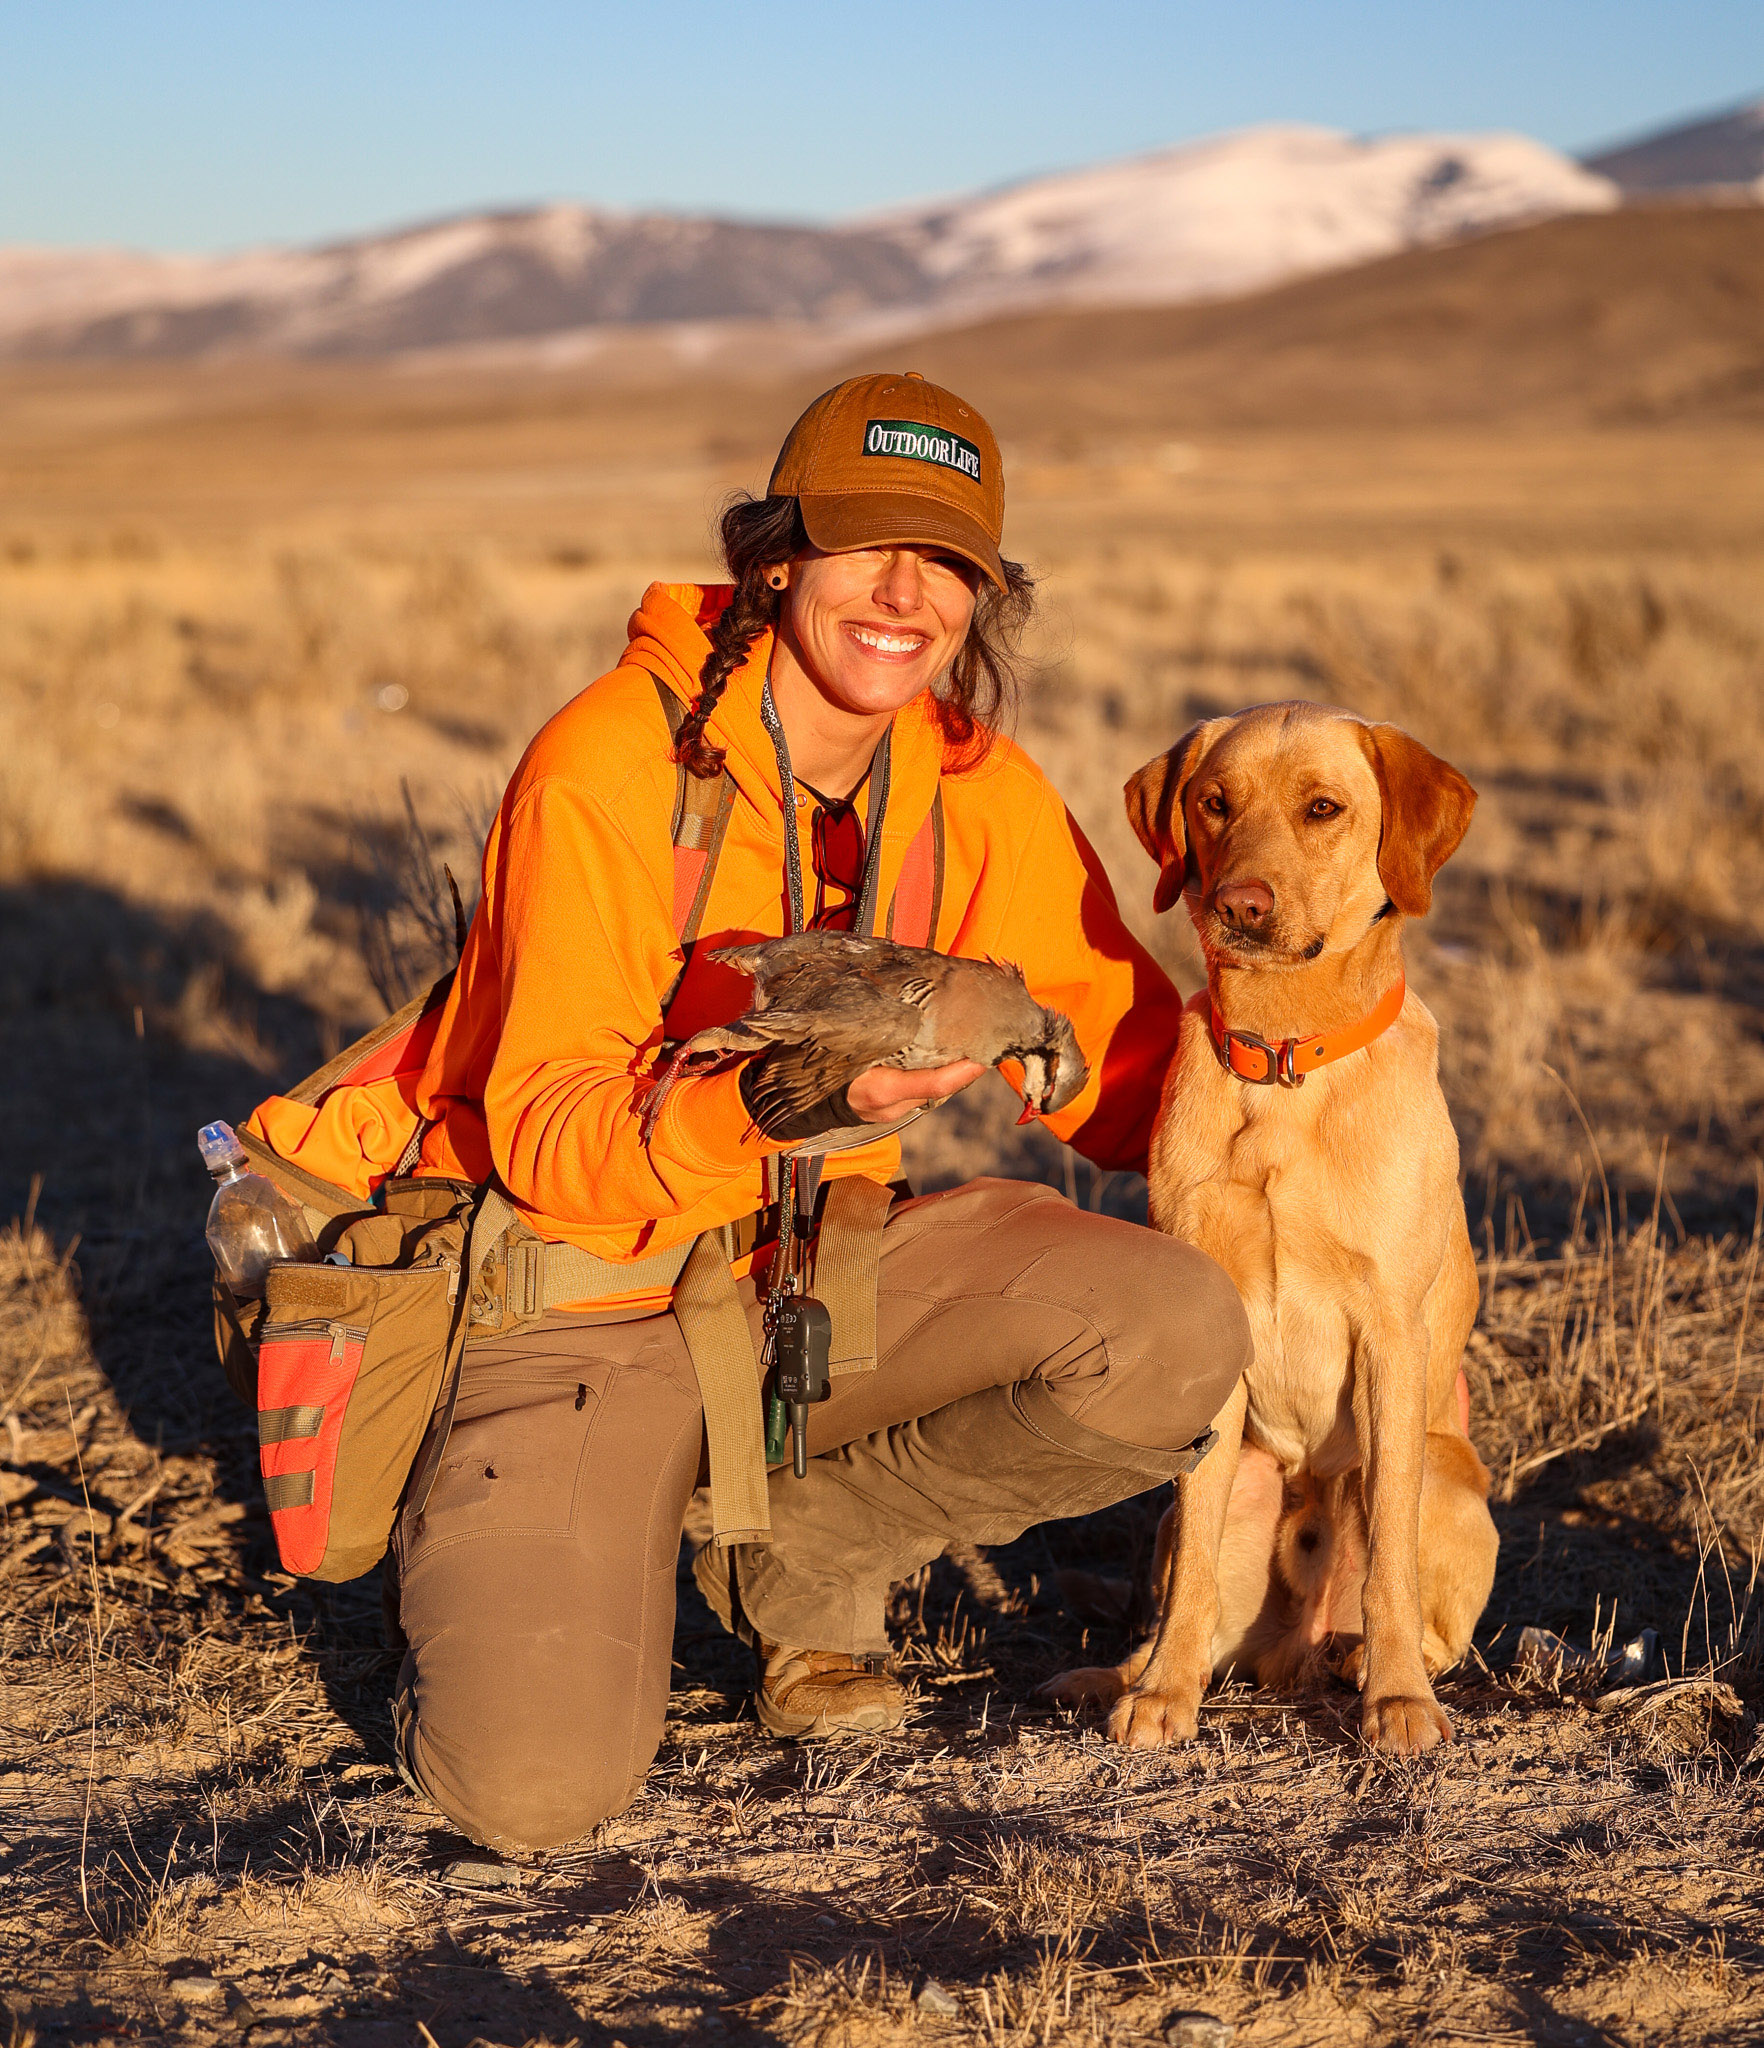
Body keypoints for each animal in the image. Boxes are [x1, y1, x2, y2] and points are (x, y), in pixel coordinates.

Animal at [1044, 708, 1499, 1761]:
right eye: (1214, 803)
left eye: (1322, 808)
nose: (1240, 904)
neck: (1286, 1059)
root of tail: (1293, 1646)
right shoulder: (1215, 1329)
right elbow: (1194, 1571)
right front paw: (1161, 1698)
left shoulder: (1390, 1333)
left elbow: (1390, 1568)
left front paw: (1400, 1702)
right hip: (1235, 1483)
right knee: (1198, 1586)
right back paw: (1131, 1674)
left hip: (1448, 1475)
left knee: (1408, 1600)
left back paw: (1367, 1660)